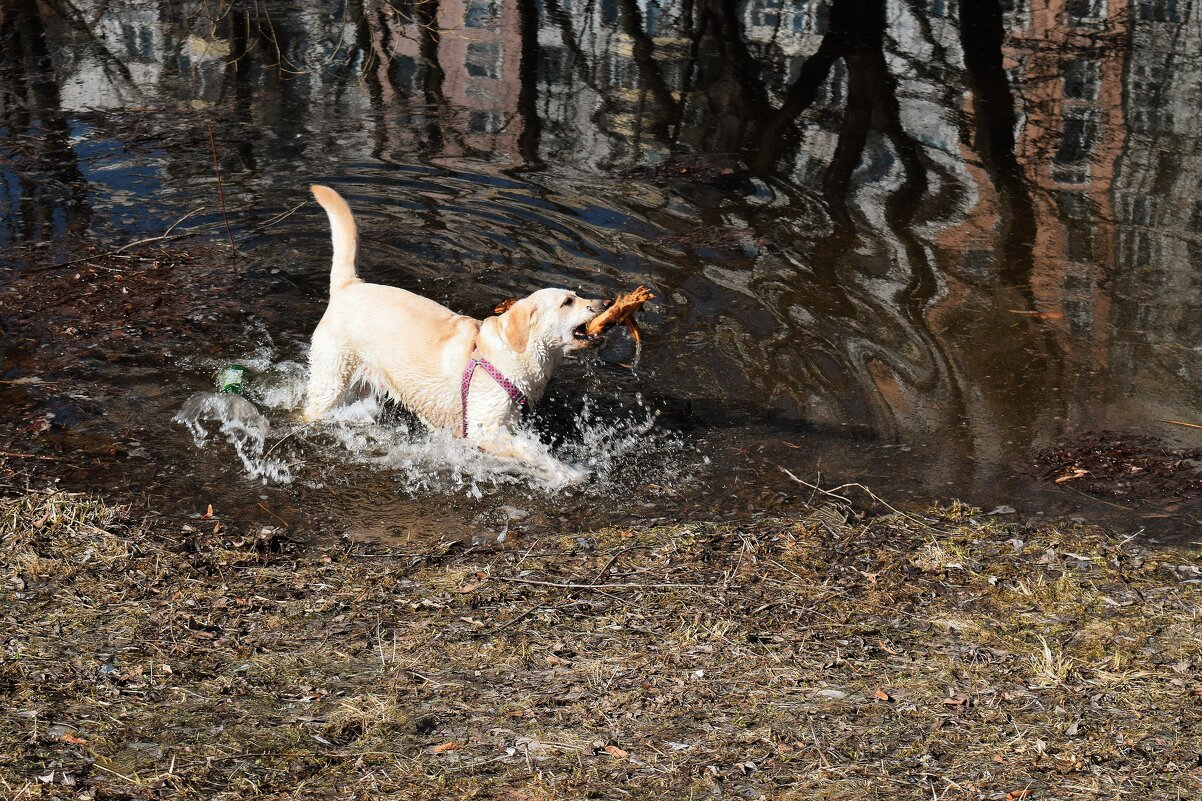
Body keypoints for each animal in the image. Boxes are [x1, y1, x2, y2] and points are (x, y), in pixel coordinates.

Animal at [300, 185, 610, 481]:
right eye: (568, 302)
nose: (605, 302)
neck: (508, 356)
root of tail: (349, 285)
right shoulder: (485, 427)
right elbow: (531, 450)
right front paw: (568, 473)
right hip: (330, 381)